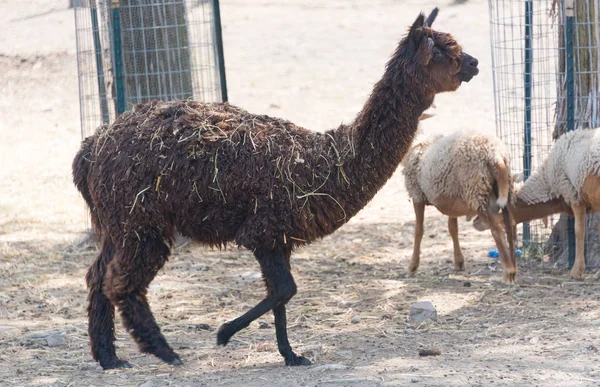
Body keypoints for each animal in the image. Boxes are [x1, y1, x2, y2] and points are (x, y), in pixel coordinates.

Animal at [72, 8, 480, 370]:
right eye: (440, 50)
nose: (474, 63)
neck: (327, 161)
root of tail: (91, 147)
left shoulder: (278, 237)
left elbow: (280, 293)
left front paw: (291, 355)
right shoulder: (264, 230)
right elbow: (284, 290)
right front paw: (224, 333)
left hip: (118, 223)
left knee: (97, 275)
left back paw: (109, 358)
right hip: (142, 221)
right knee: (121, 283)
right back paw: (163, 352)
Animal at [400, 129, 516, 284]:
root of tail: (495, 155)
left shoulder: (416, 194)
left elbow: (418, 231)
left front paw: (413, 265)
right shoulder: (451, 198)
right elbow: (453, 229)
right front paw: (459, 261)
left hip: (476, 192)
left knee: (496, 229)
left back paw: (508, 272)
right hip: (504, 191)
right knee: (511, 225)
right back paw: (514, 270)